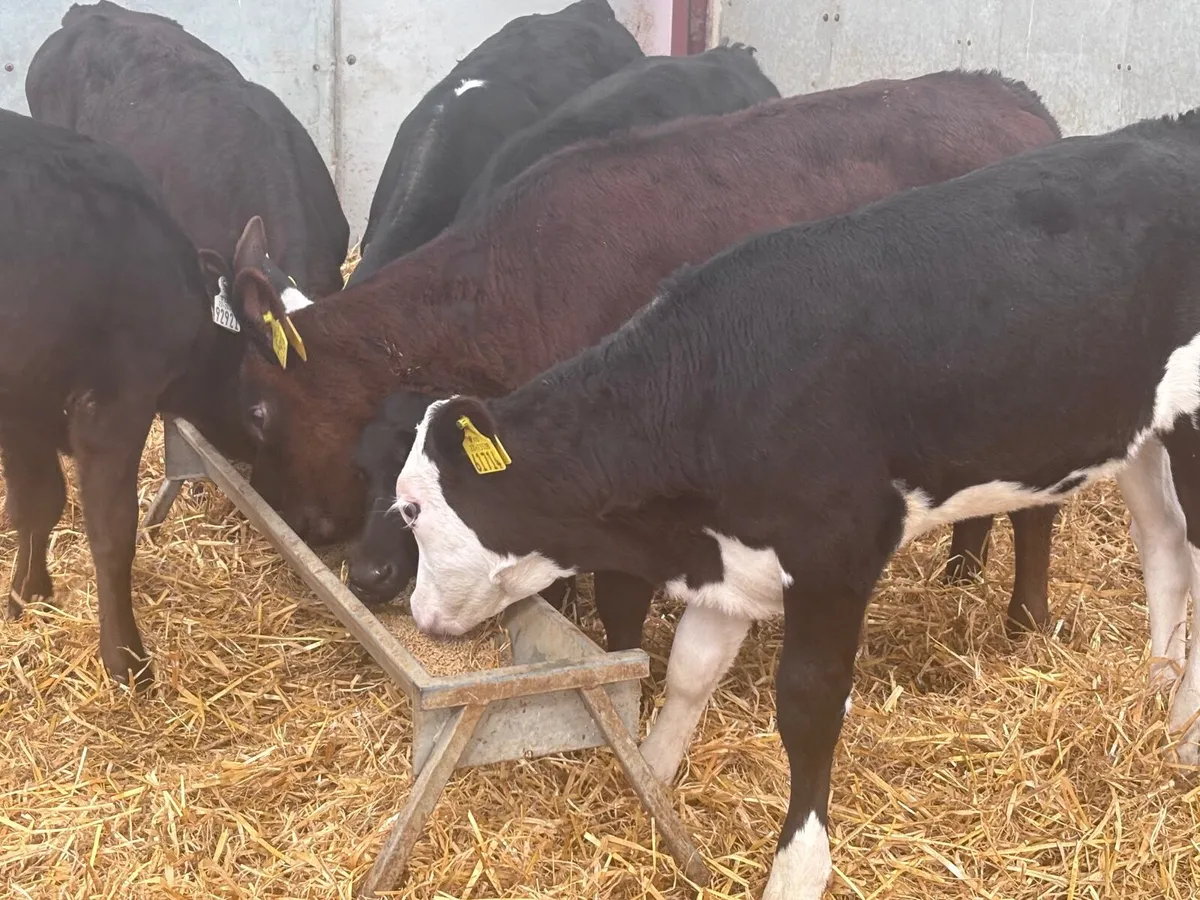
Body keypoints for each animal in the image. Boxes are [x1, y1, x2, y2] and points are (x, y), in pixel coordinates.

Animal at [1, 109, 255, 688]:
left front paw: (27, 594)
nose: (253, 433)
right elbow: (113, 532)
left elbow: (37, 500)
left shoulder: (23, 403)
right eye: (243, 356)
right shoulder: (115, 400)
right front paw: (127, 659)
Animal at [275, 71, 1062, 640]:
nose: (366, 575)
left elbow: (619, 594)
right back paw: (961, 571)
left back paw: (1023, 621)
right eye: (363, 468)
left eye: (417, 506)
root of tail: (1009, 96)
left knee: (1037, 513)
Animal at [392, 109, 1200, 900]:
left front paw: (796, 870)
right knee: (1165, 545)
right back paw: (1158, 693)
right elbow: (689, 669)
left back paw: (1186, 735)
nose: (420, 614)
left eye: (410, 510)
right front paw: (652, 778)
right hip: (1138, 428)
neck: (715, 381)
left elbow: (809, 708)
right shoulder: (732, 554)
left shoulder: (833, 557)